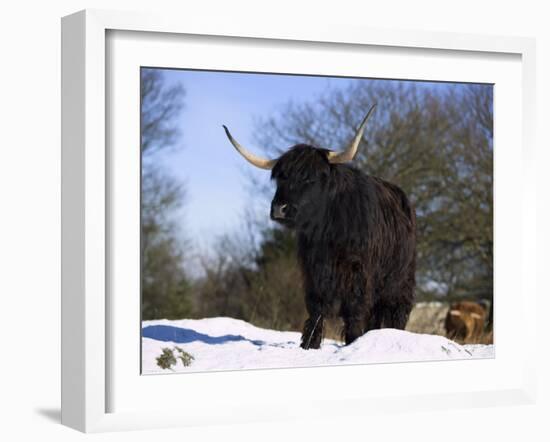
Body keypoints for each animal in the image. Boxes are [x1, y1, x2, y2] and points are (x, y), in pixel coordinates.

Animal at [222, 105, 416, 350]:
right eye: (281, 178)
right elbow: (316, 308)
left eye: (309, 179)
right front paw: (309, 345)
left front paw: (353, 342)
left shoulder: (358, 272)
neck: (327, 233)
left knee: (397, 311)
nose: (279, 208)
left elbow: (353, 310)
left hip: (400, 281)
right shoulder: (312, 270)